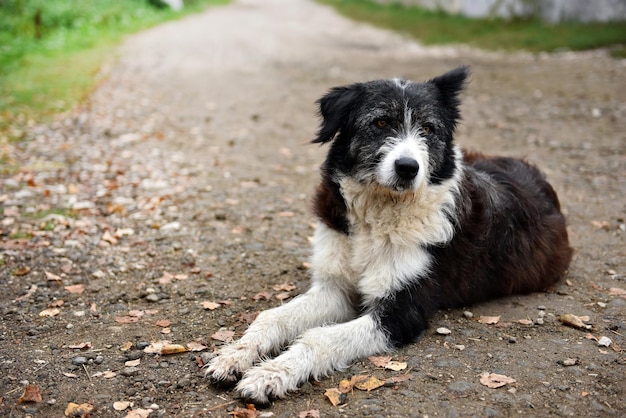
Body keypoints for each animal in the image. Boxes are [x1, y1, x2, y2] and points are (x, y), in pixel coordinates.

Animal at [206, 67, 572, 404]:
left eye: (428, 129)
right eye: (381, 123)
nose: (408, 168)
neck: (379, 213)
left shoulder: (401, 313)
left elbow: (317, 338)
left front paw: (269, 375)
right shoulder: (335, 290)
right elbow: (272, 317)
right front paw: (234, 355)